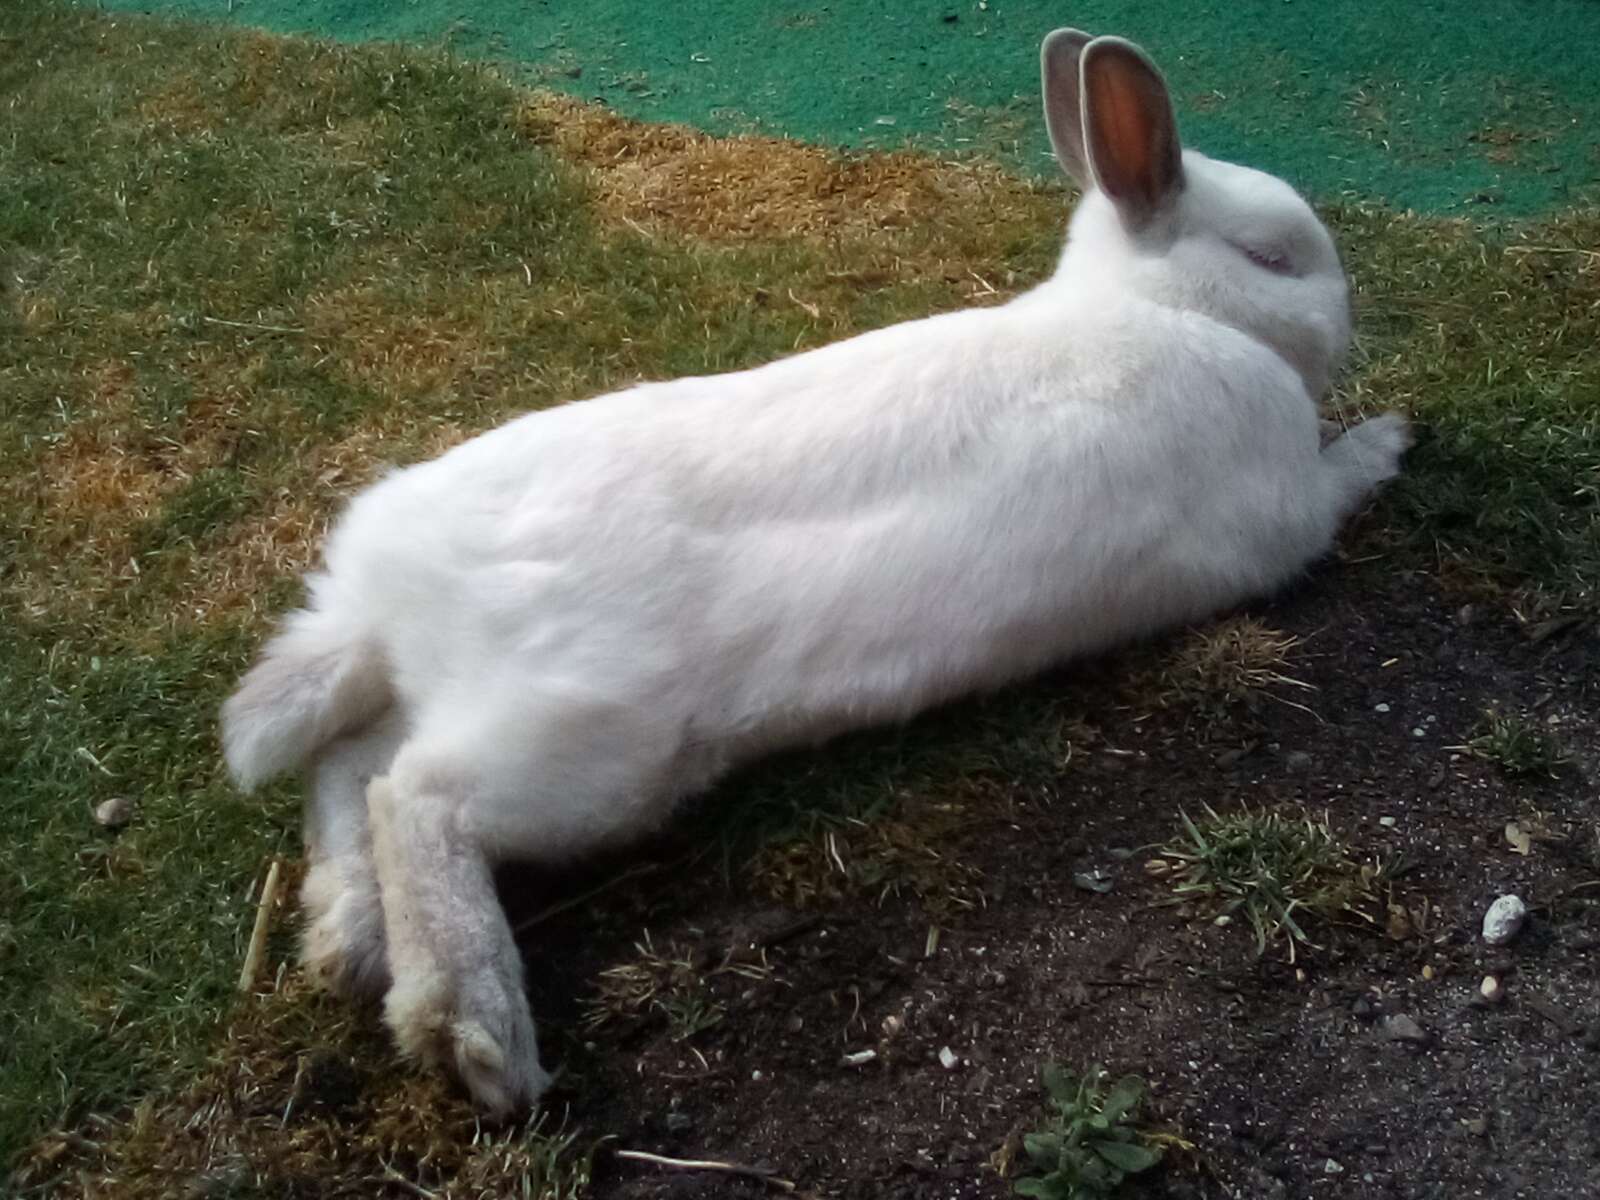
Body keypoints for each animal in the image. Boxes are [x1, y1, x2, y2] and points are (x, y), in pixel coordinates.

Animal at [221, 28, 1410, 1114]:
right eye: (1273, 257)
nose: (1350, 313)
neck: (1160, 311)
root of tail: (385, 596)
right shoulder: (1283, 512)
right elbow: (1337, 481)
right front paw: (1392, 436)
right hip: (585, 741)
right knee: (415, 797)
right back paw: (475, 1037)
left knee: (348, 769)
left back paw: (344, 940)